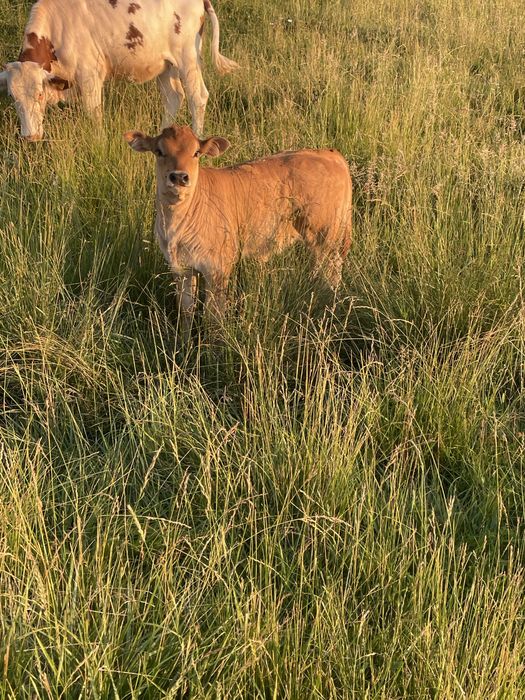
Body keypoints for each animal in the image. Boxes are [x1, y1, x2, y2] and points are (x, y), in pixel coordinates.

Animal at [0, 0, 238, 141]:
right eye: (12, 97)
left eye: (40, 94)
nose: (29, 137)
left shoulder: (90, 75)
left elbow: (93, 113)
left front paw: (98, 143)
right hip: (166, 65)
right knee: (173, 98)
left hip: (188, 58)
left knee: (197, 97)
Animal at [124, 124, 352, 336]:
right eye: (159, 151)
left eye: (196, 152)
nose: (179, 177)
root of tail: (328, 152)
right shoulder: (181, 268)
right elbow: (186, 311)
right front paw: (184, 344)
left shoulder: (218, 268)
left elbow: (213, 316)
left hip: (327, 236)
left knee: (332, 273)